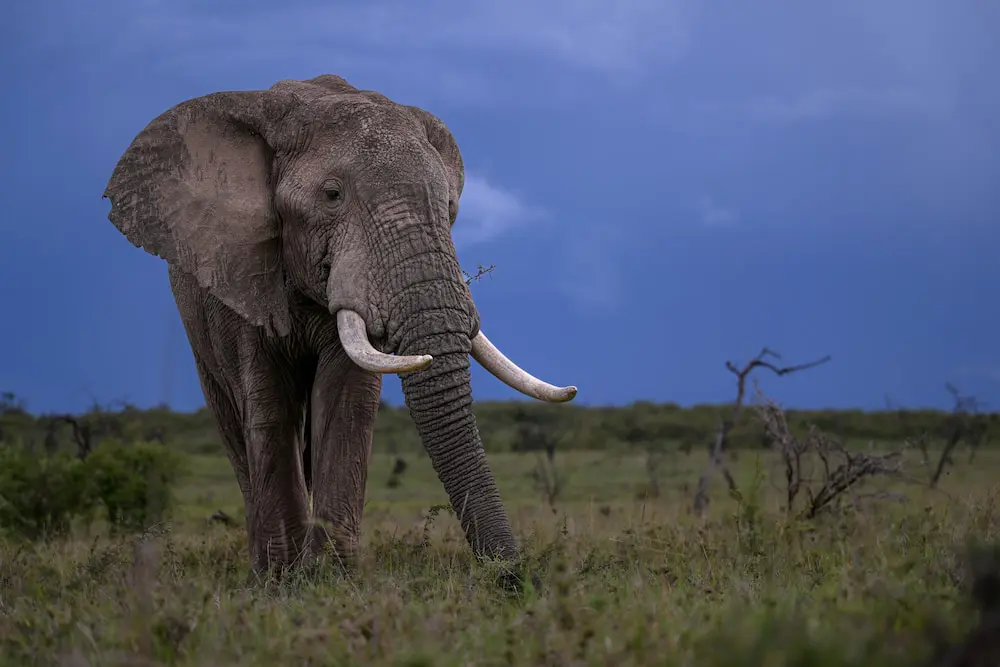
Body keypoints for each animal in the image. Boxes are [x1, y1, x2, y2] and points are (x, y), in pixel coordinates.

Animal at [102, 74, 577, 575]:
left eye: (449, 206)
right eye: (332, 196)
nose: (513, 577)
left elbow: (346, 399)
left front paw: (330, 577)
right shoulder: (241, 272)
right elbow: (268, 402)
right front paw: (282, 580)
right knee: (235, 425)